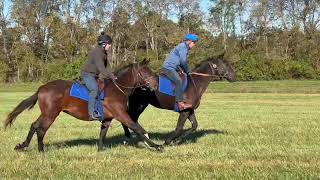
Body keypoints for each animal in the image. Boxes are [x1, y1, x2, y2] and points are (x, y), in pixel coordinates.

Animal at [4, 60, 164, 152]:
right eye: (144, 72)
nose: (157, 84)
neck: (117, 89)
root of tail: (42, 88)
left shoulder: (108, 118)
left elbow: (103, 133)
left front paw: (100, 149)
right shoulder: (122, 115)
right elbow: (138, 128)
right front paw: (156, 146)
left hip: (46, 113)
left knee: (34, 125)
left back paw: (23, 146)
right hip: (51, 114)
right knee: (41, 129)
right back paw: (41, 150)